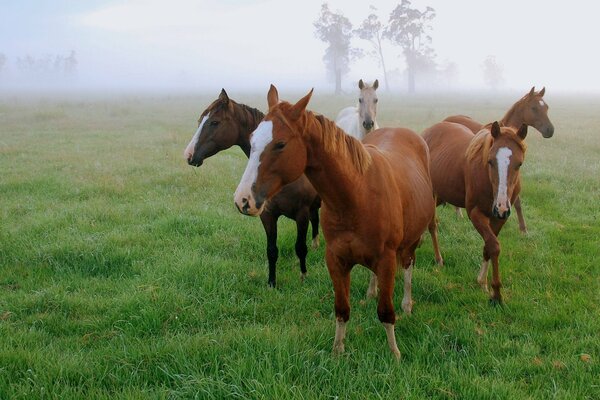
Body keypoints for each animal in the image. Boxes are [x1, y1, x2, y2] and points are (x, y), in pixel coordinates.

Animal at [234, 85, 436, 360]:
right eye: (252, 140)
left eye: (280, 144)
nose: (243, 199)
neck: (357, 195)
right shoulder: (336, 259)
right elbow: (342, 309)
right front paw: (337, 351)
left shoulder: (386, 259)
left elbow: (386, 311)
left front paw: (394, 353)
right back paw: (371, 292)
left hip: (411, 241)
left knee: (407, 266)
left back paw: (407, 303)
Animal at [422, 122, 528, 304]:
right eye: (490, 161)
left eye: (519, 164)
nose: (501, 207)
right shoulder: (475, 213)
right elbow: (493, 246)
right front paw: (496, 294)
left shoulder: (499, 219)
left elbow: (488, 246)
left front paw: (482, 282)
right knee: (432, 225)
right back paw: (438, 259)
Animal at [442, 86, 552, 231]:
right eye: (534, 108)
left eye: (547, 107)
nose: (550, 130)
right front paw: (523, 229)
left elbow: (516, 202)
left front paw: (523, 229)